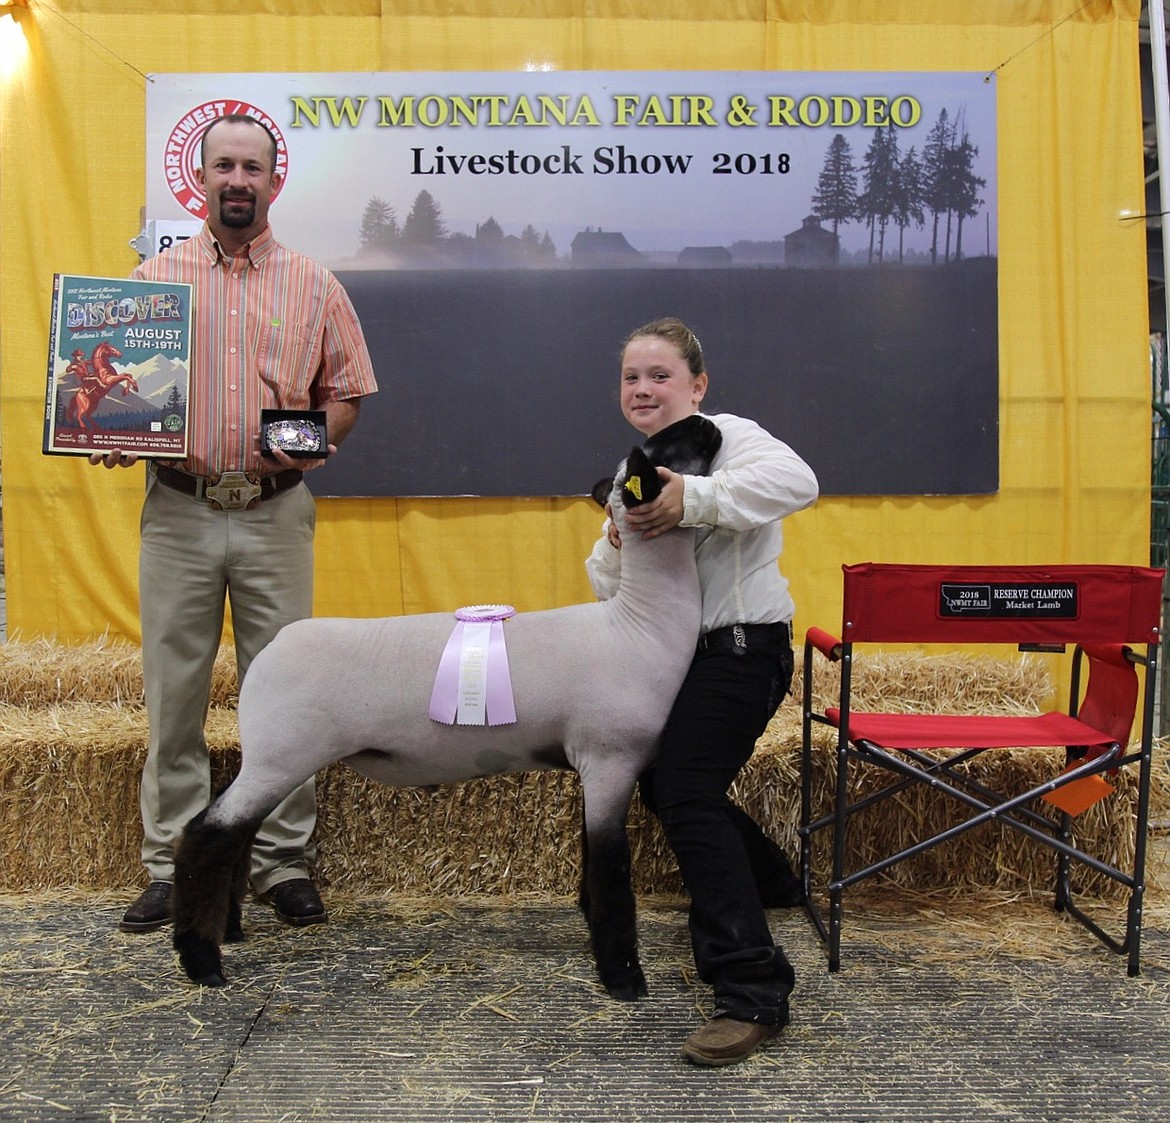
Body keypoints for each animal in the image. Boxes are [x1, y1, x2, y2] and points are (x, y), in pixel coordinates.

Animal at [171, 411, 720, 1001]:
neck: (639, 625)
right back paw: (202, 961)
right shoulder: (611, 758)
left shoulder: (593, 767)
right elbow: (612, 870)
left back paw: (227, 931)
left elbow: (593, 862)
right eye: (667, 442)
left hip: (273, 759)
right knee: (207, 835)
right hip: (280, 755)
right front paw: (624, 977)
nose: (707, 422)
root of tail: (272, 648)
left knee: (233, 836)